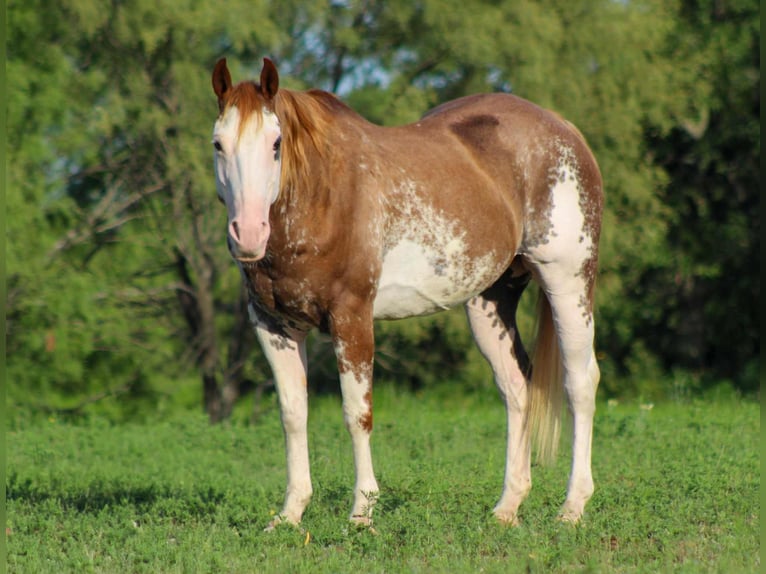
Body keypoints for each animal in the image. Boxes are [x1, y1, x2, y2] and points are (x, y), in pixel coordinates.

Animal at [211, 57, 603, 529]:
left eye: (275, 143)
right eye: (218, 144)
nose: (248, 234)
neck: (323, 198)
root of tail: (564, 128)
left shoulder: (352, 317)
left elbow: (357, 414)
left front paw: (362, 512)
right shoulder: (273, 326)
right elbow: (292, 414)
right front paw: (290, 513)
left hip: (568, 279)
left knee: (580, 382)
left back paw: (573, 507)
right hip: (490, 301)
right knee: (516, 387)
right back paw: (507, 506)